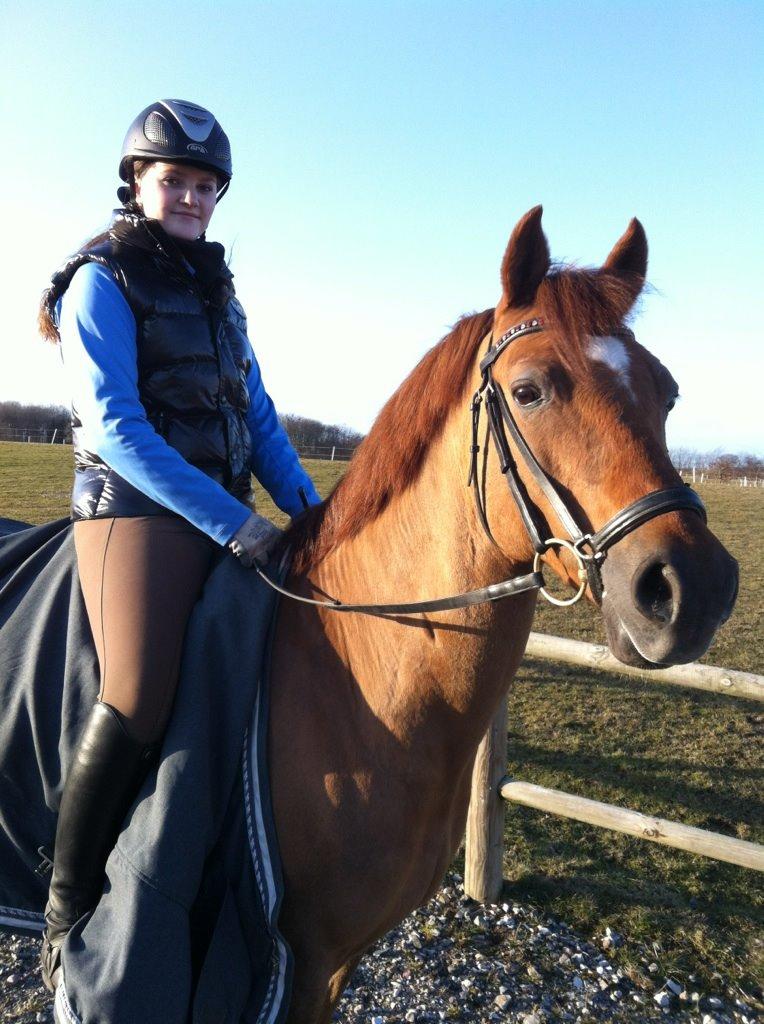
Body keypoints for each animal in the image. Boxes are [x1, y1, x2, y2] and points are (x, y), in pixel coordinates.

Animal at [266, 207, 738, 1023]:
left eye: (669, 392)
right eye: (528, 391)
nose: (694, 589)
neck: (354, 677)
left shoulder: (333, 964)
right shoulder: (300, 957)